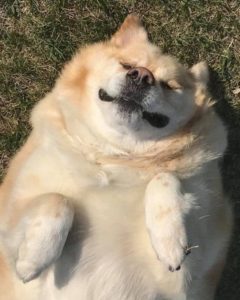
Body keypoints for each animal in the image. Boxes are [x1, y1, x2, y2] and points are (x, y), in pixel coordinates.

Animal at [0, 14, 232, 300]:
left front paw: (169, 239)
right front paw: (34, 256)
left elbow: (165, 176)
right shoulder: (8, 221)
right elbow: (58, 199)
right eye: (127, 65)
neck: (116, 157)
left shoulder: (193, 270)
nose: (142, 75)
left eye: (169, 85)